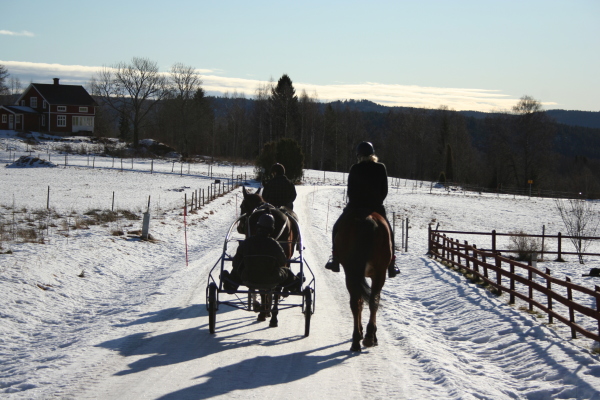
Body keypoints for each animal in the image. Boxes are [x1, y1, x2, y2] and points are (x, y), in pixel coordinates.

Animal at [236, 186, 298, 324]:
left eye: (241, 206)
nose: (240, 228)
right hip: (283, 258)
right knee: (275, 286)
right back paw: (272, 314)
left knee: (265, 285)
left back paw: (265, 313)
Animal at [332, 209, 394, 350]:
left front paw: (361, 333)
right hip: (379, 273)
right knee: (373, 301)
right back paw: (369, 337)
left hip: (352, 273)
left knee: (356, 303)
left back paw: (357, 340)